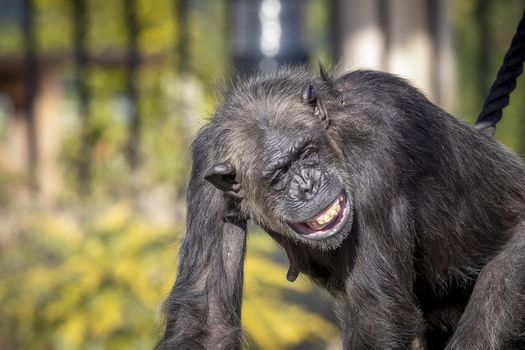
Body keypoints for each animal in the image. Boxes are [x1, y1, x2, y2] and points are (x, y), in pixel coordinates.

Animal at [157, 67, 524, 348]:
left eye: (307, 152)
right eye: (278, 174)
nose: (308, 184)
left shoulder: (377, 147)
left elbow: (376, 313)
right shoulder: (207, 166)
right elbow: (208, 317)